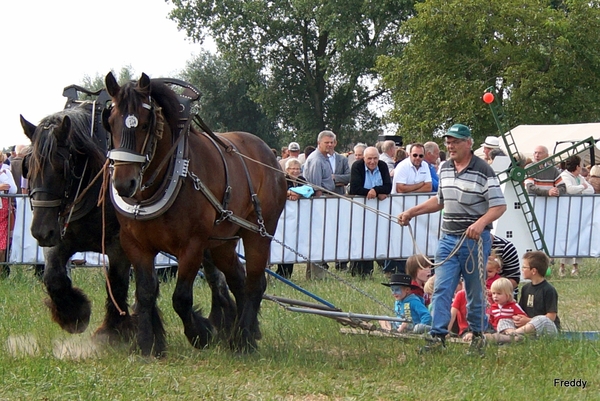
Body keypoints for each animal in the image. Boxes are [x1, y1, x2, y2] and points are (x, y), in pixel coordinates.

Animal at [20, 103, 135, 340]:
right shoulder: (59, 237)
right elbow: (53, 277)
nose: (40, 231)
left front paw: (113, 332)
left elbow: (116, 283)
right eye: (29, 166)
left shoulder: (118, 243)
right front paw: (74, 314)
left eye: (61, 167)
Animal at [103, 72, 288, 354]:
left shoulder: (192, 245)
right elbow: (145, 293)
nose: (124, 184)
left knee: (255, 283)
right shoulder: (135, 244)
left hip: (258, 233)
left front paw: (201, 333)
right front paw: (147, 344)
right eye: (110, 122)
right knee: (238, 280)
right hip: (223, 244)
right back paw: (242, 331)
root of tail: (269, 156)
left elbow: (181, 298)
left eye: (144, 124)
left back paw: (243, 338)